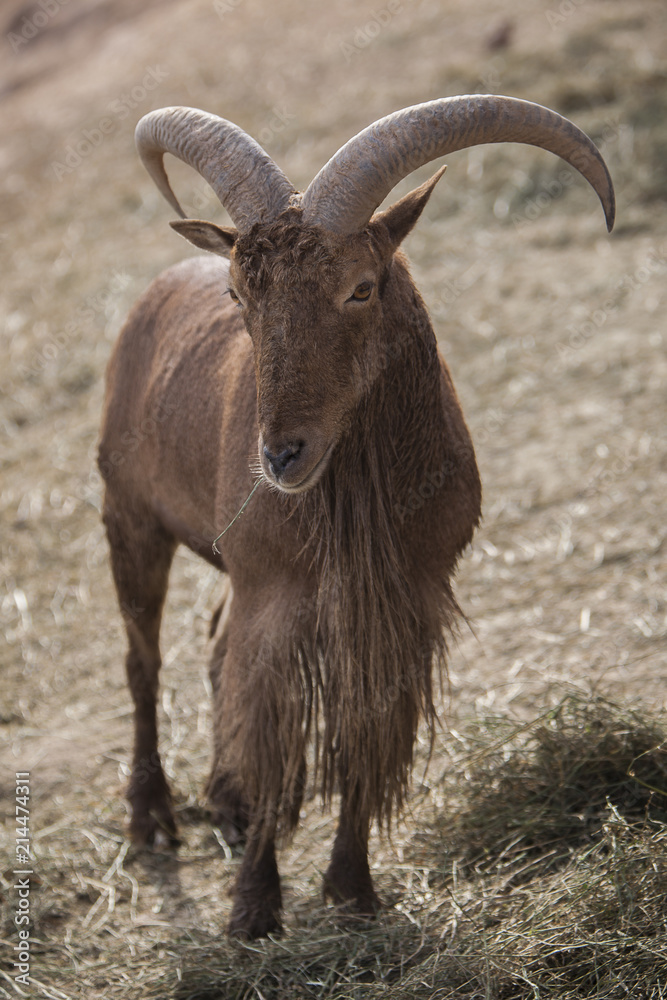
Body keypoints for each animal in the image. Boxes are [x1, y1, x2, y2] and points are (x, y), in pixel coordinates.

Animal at [99, 96, 614, 939]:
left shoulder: (402, 604)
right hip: (130, 518)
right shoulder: (278, 601)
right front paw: (253, 911)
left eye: (361, 288)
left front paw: (353, 890)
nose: (280, 457)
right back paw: (152, 819)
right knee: (143, 660)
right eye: (241, 297)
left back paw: (226, 802)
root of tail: (154, 293)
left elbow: (365, 735)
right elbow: (275, 730)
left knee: (211, 644)